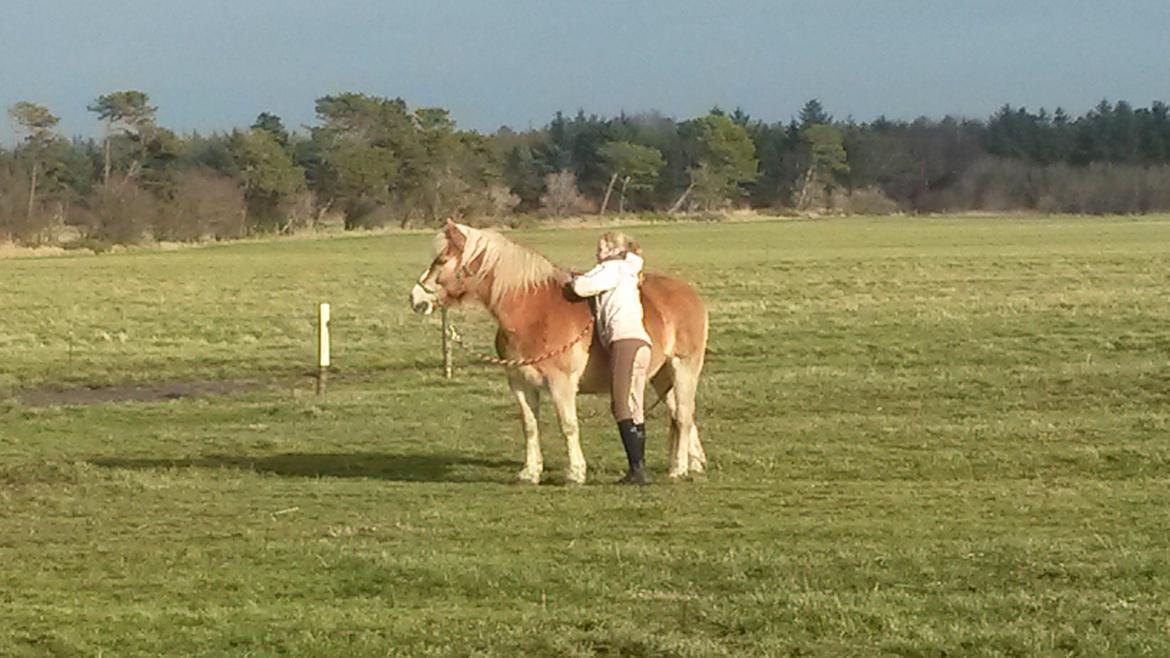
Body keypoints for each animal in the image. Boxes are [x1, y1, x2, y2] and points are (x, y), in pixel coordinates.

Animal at [407, 220, 706, 482]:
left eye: (441, 261)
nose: (415, 298)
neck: (533, 313)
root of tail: (689, 292)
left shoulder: (561, 383)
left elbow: (568, 425)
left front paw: (575, 473)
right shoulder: (519, 383)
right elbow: (529, 426)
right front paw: (530, 472)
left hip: (683, 368)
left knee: (682, 415)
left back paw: (678, 469)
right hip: (660, 376)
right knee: (680, 415)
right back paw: (692, 462)